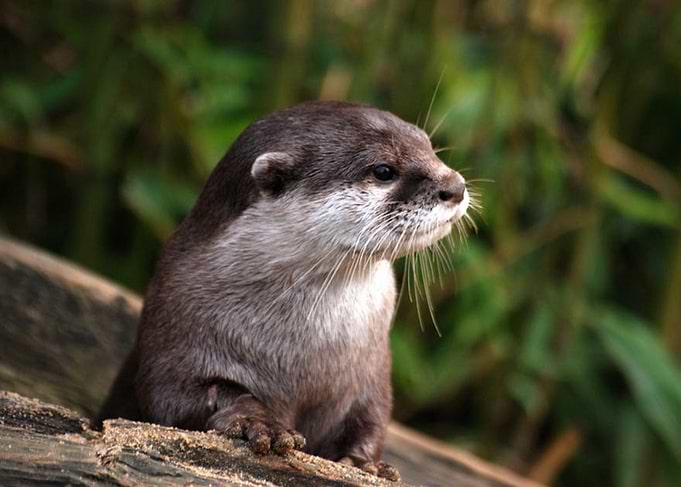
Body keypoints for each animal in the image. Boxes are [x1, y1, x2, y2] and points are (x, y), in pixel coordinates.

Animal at [96, 101, 470, 480]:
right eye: (383, 170)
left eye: (428, 146)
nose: (455, 186)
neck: (303, 355)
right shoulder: (174, 327)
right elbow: (174, 397)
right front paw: (258, 422)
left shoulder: (372, 374)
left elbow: (371, 420)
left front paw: (364, 463)